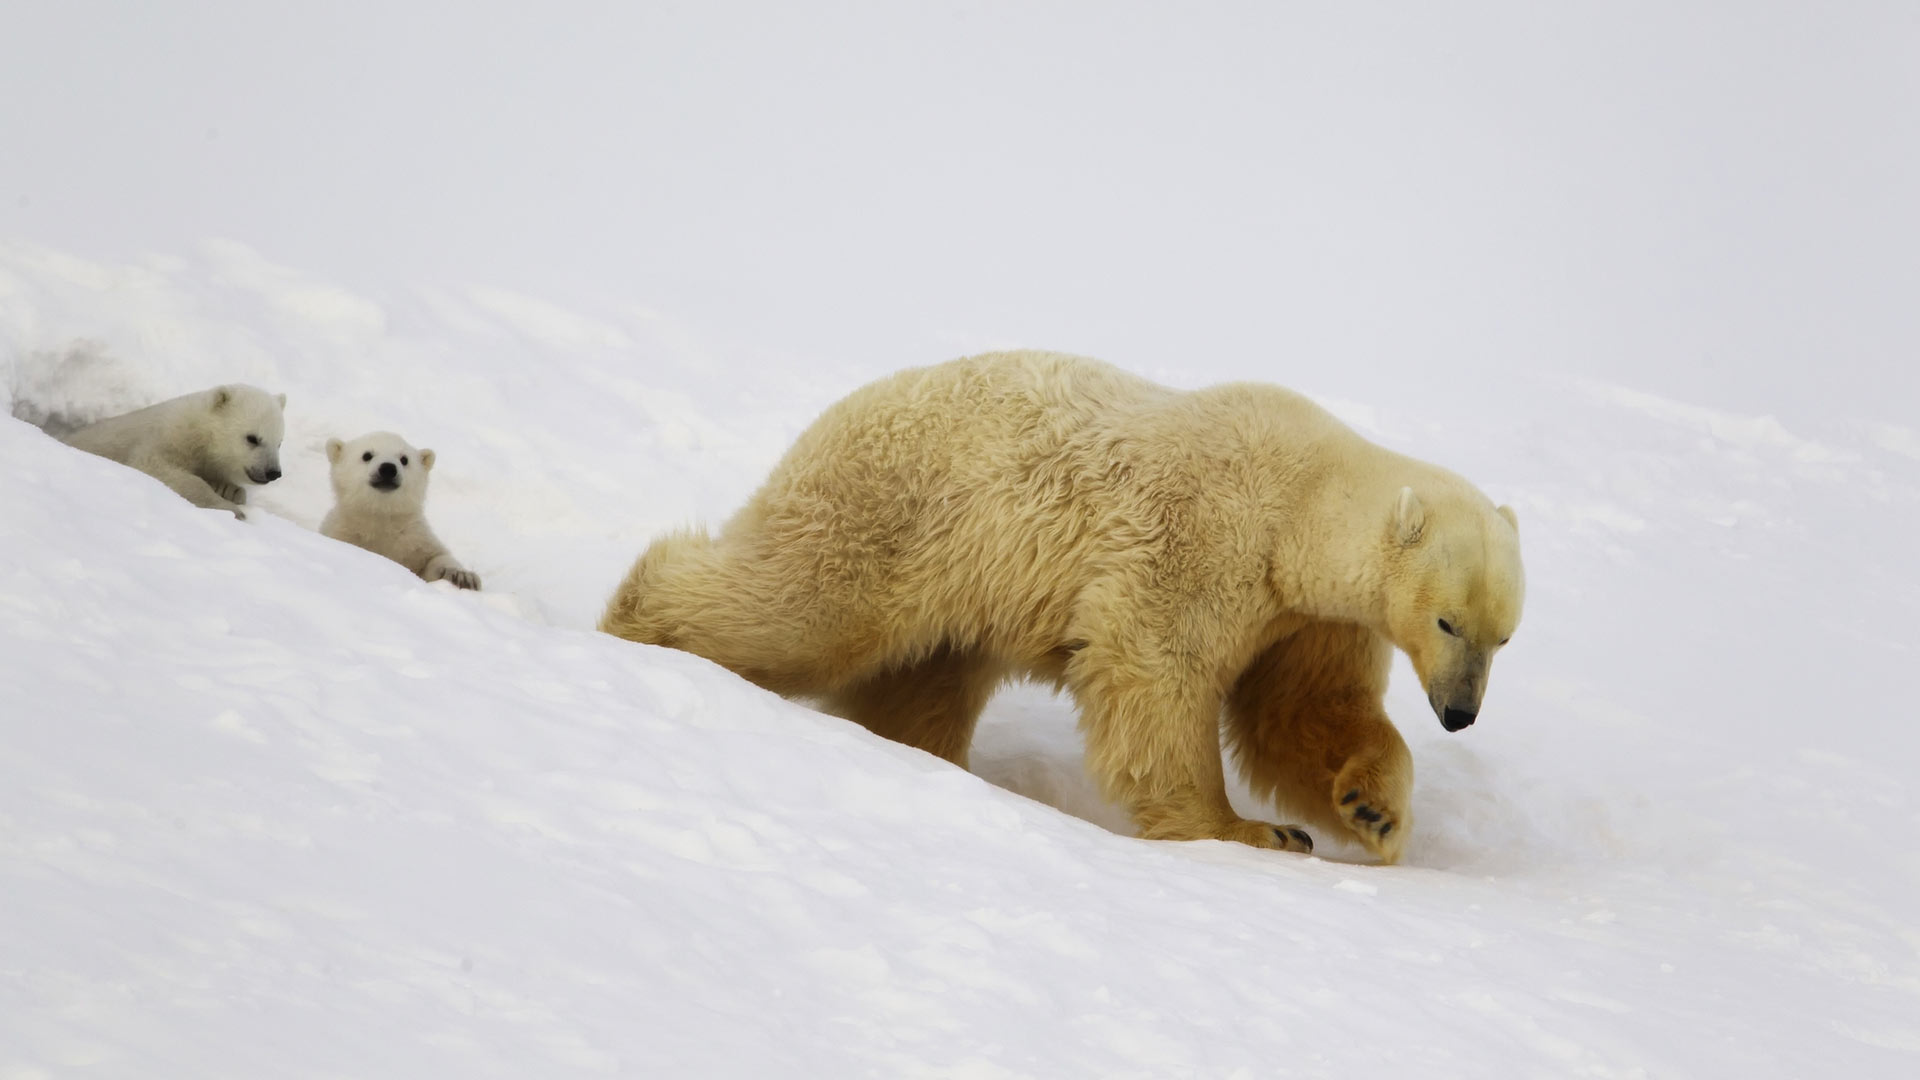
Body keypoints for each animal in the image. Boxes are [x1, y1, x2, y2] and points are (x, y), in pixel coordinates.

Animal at [599, 353, 1512, 857]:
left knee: (923, 683)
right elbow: (1155, 673)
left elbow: (1302, 712)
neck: (1302, 502)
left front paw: (1375, 812)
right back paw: (635, 620)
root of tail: (833, 416)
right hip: (893, 513)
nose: (1460, 713)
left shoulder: (1308, 618)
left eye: (1503, 637)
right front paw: (1249, 831)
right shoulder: (1204, 543)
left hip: (954, 589)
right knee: (801, 606)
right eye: (1447, 621)